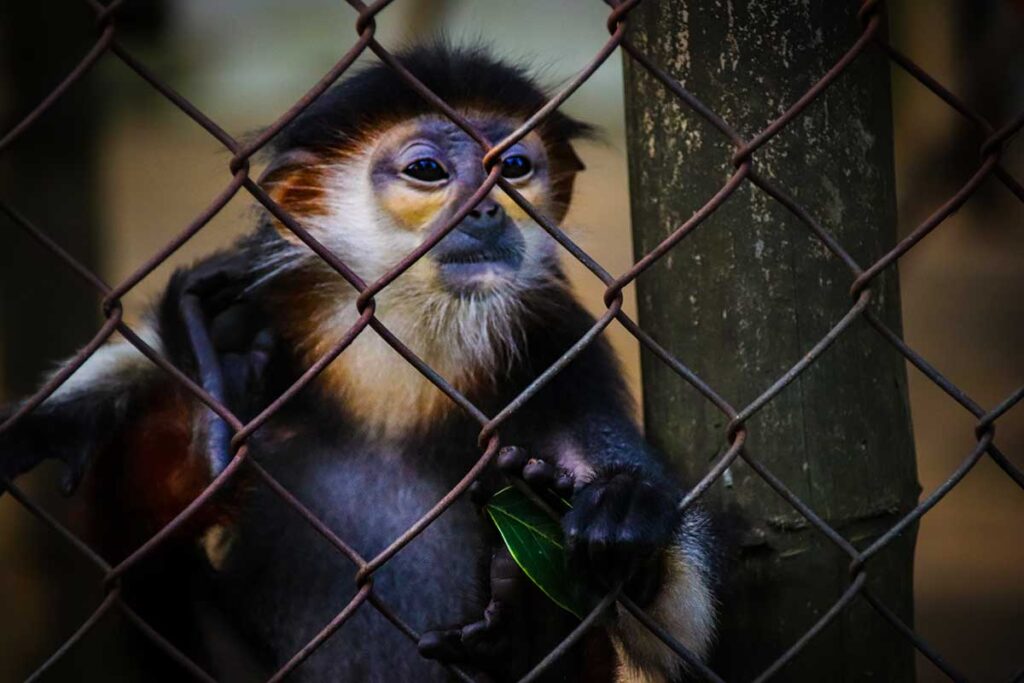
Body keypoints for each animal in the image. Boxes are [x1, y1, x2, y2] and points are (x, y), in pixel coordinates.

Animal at [0, 44, 716, 683]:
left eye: (514, 166)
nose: (488, 207)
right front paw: (49, 423)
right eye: (428, 170)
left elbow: (684, 635)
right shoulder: (261, 300)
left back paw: (515, 632)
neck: (407, 342)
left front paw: (625, 512)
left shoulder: (563, 350)